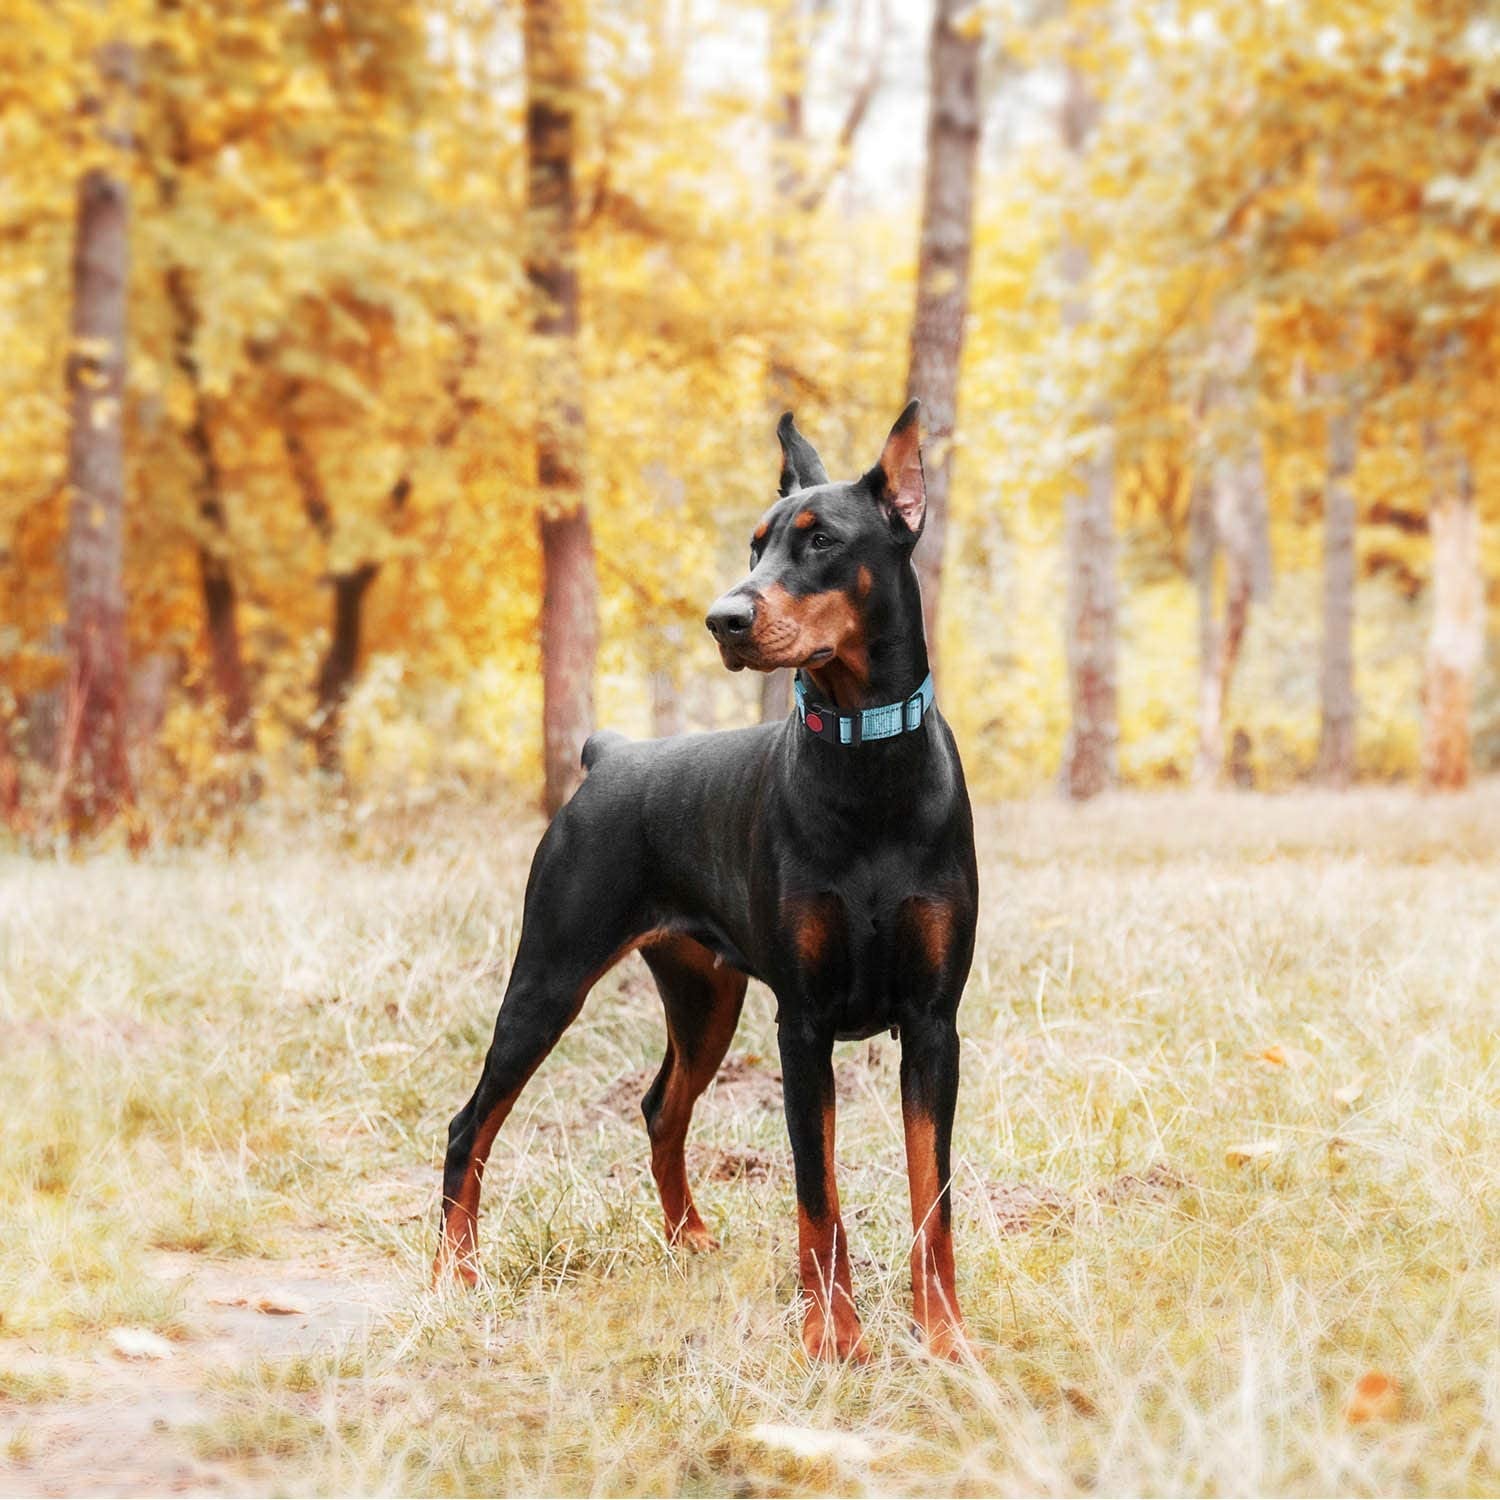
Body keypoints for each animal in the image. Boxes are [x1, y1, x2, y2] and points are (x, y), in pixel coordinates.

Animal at [435, 399, 978, 1362]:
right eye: (754, 545)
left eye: (821, 539)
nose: (722, 619)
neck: (867, 761)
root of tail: (609, 757)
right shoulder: (803, 1023)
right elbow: (816, 1195)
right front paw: (833, 1336)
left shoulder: (932, 1022)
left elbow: (931, 1199)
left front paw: (944, 1337)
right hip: (549, 979)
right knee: (472, 1124)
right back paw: (455, 1273)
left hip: (705, 997)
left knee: (662, 1106)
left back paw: (684, 1236)